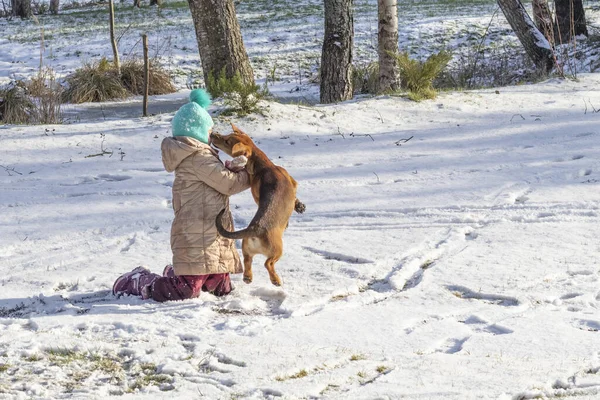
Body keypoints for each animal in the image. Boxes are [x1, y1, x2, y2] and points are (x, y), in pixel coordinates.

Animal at [211, 123, 304, 286]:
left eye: (227, 139)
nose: (212, 135)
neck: (265, 166)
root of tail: (254, 229)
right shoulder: (293, 183)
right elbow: (295, 196)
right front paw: (299, 206)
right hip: (277, 250)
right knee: (268, 263)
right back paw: (275, 280)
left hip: (246, 248)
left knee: (247, 260)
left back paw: (248, 277)